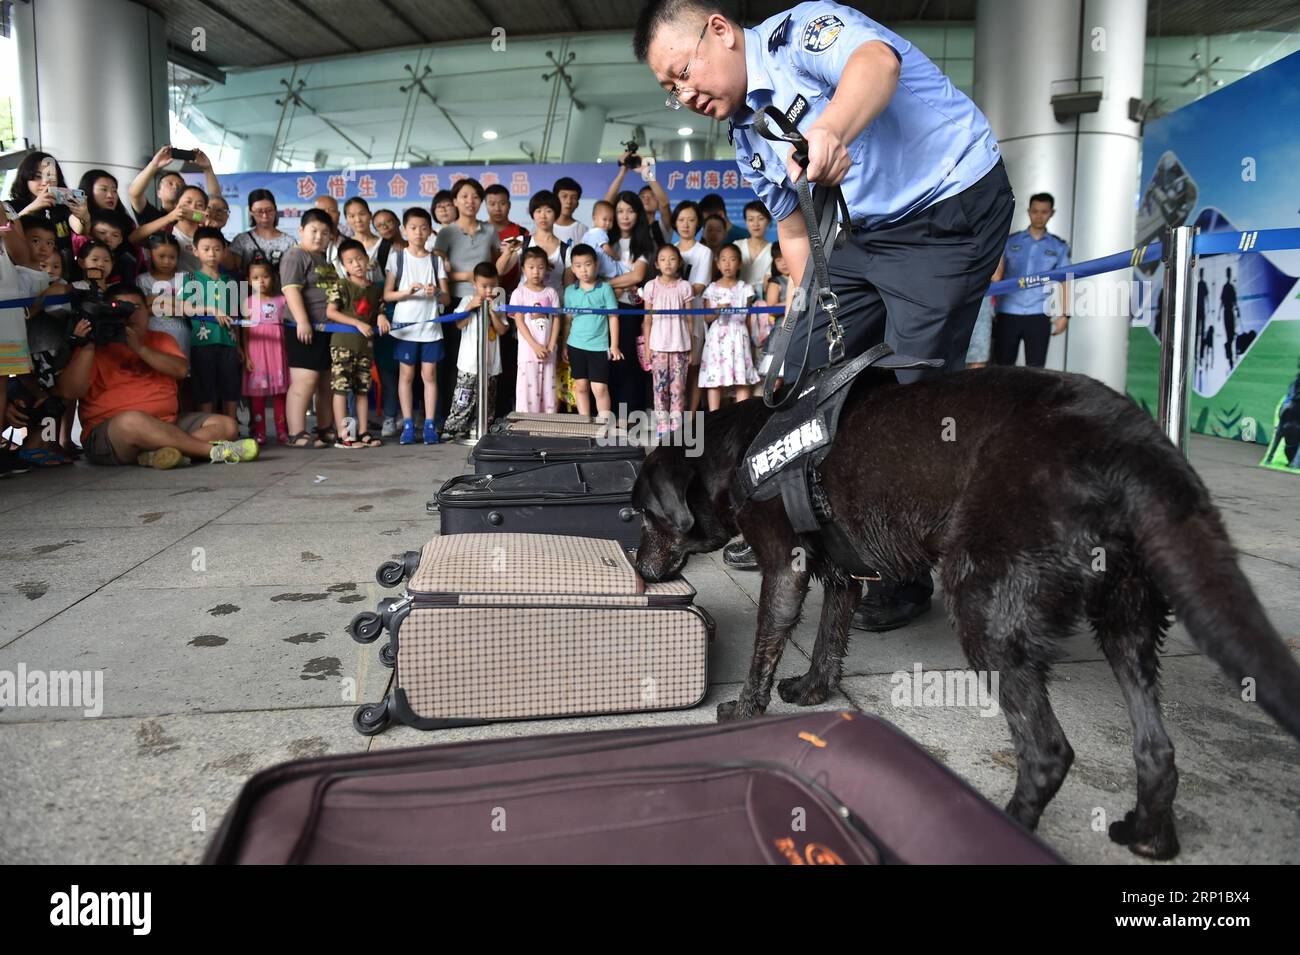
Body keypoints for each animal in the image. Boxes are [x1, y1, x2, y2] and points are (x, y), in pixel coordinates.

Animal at [634, 363, 1300, 857]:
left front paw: (745, 711)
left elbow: (765, 647)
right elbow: (830, 637)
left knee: (1048, 751)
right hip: (1128, 616)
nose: (639, 568)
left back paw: (1008, 827)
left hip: (986, 610)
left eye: (642, 514)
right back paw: (1148, 836)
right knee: (1156, 748)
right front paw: (813, 691)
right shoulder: (844, 574)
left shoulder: (784, 568)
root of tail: (1131, 444)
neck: (742, 449)